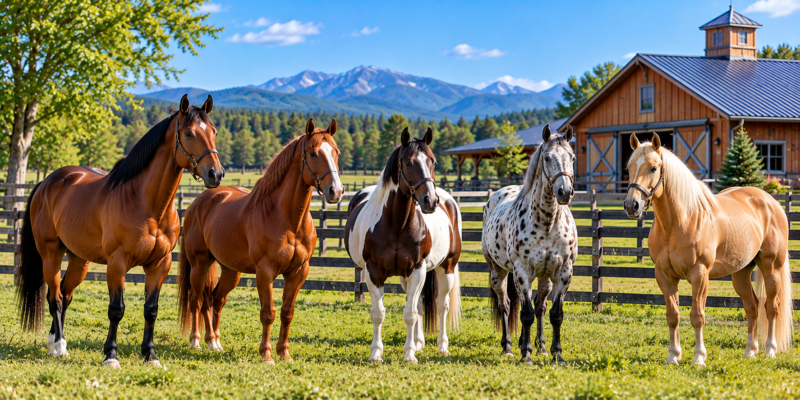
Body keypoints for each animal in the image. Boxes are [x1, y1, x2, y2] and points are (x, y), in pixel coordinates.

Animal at [16, 94, 223, 368]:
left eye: (214, 132)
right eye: (188, 133)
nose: (216, 174)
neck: (145, 204)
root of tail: (47, 182)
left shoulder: (160, 264)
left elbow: (151, 310)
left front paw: (150, 355)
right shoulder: (117, 264)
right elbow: (116, 309)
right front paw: (111, 356)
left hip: (79, 261)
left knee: (64, 295)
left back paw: (53, 344)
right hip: (50, 255)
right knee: (56, 299)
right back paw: (60, 347)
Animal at [177, 118, 343, 363]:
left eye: (336, 152)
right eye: (313, 153)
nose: (336, 191)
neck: (287, 219)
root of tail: (199, 202)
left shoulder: (299, 272)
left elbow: (287, 312)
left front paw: (284, 353)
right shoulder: (265, 272)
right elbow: (268, 313)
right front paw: (266, 354)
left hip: (231, 271)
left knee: (215, 300)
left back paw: (215, 342)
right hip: (199, 265)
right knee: (197, 300)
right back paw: (197, 341)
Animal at [344, 127, 462, 364]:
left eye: (433, 161)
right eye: (408, 162)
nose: (430, 201)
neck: (397, 224)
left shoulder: (417, 269)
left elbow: (409, 314)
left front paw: (409, 356)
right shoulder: (374, 272)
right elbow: (379, 313)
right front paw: (376, 354)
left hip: (446, 267)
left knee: (441, 305)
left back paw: (442, 347)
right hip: (405, 276)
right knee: (419, 305)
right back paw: (418, 344)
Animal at [483, 124, 577, 365]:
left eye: (572, 157)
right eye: (547, 157)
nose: (565, 192)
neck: (547, 223)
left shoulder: (564, 272)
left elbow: (555, 314)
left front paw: (557, 354)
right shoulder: (522, 271)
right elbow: (525, 314)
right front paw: (526, 354)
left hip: (545, 278)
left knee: (540, 307)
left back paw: (541, 347)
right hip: (498, 272)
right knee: (505, 305)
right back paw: (508, 347)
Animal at [623, 133, 793, 366]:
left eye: (653, 168)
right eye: (629, 167)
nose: (632, 205)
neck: (680, 221)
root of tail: (771, 203)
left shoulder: (699, 274)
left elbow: (697, 316)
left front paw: (699, 358)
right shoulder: (664, 275)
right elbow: (673, 315)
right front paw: (673, 356)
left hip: (771, 268)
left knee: (771, 307)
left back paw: (769, 350)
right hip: (740, 273)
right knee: (752, 307)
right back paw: (750, 351)